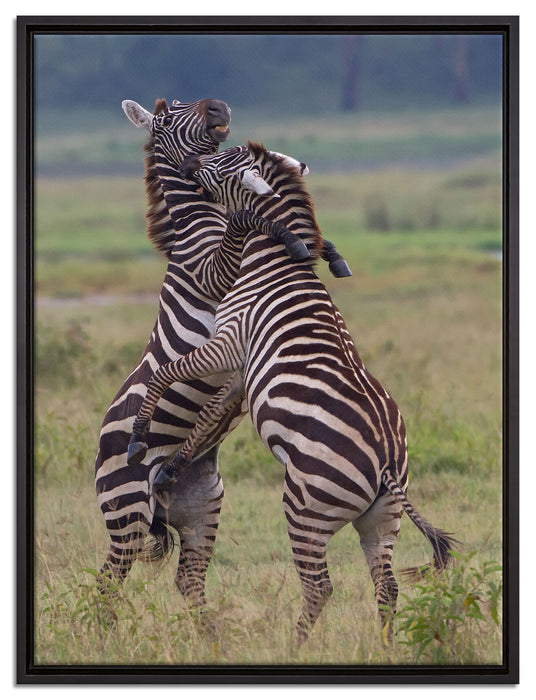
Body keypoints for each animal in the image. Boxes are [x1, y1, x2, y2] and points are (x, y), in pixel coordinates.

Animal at [127, 142, 459, 645]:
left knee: (320, 586)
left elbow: (167, 373)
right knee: (387, 586)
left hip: (305, 509)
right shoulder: (241, 367)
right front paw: (169, 469)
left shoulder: (229, 341)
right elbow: (208, 416)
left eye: (220, 162)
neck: (275, 261)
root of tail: (387, 465)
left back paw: (293, 645)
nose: (185, 166)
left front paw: (139, 435)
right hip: (381, 521)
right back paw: (385, 649)